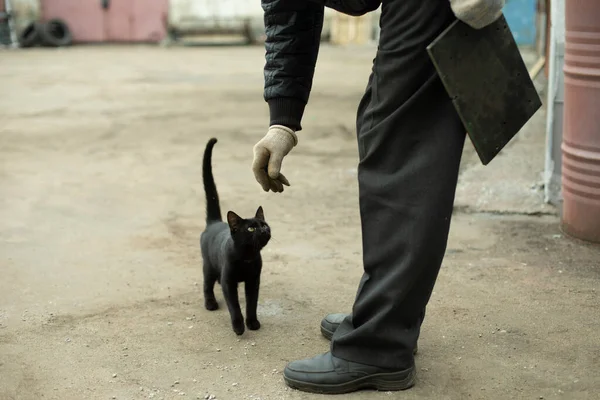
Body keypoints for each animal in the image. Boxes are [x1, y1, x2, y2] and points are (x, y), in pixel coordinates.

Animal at [200, 138, 270, 334]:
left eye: (264, 224)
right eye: (251, 229)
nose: (264, 231)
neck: (247, 257)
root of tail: (215, 222)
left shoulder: (253, 281)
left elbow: (252, 303)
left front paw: (252, 322)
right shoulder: (229, 282)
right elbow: (235, 306)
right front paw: (239, 327)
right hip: (208, 265)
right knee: (207, 284)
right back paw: (210, 303)